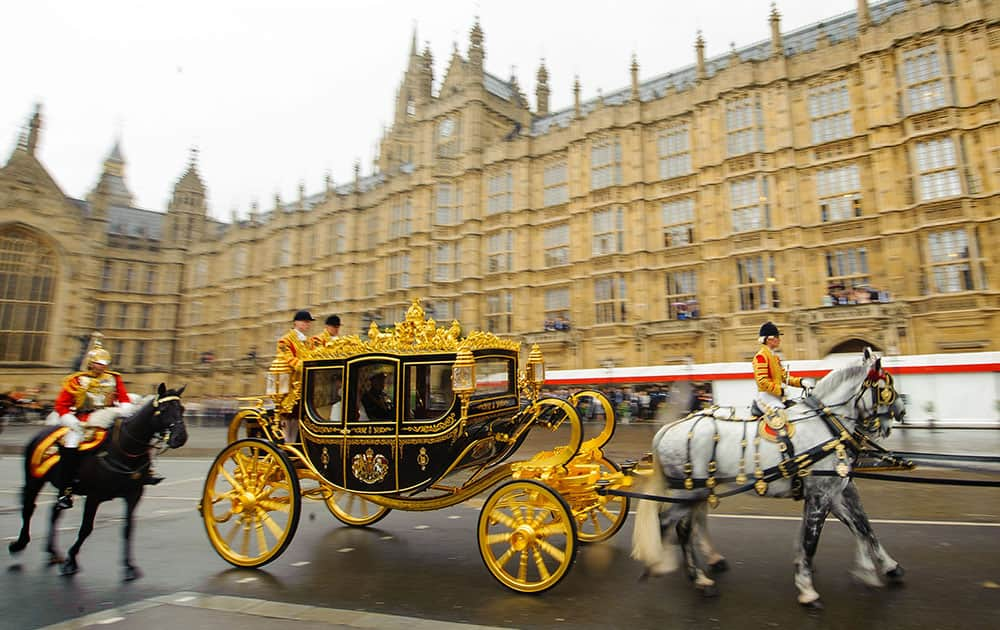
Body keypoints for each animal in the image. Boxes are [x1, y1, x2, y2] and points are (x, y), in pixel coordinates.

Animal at [8, 380, 188, 584]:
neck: (124, 450)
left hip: (62, 487)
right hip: (34, 479)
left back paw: (53, 553)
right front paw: (71, 561)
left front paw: (129, 567)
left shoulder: (133, 495)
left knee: (54, 512)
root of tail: (45, 430)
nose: (181, 437)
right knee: (29, 508)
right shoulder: (94, 495)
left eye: (182, 408)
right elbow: (86, 528)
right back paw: (19, 544)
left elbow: (128, 529)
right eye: (163, 409)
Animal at [632, 348, 908, 608]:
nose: (902, 412)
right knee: (673, 524)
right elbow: (813, 539)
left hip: (698, 490)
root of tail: (668, 428)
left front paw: (885, 566)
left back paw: (700, 568)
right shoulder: (821, 493)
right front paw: (807, 590)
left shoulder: (835, 490)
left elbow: (862, 526)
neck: (826, 426)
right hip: (688, 492)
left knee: (689, 523)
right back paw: (679, 571)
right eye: (886, 386)